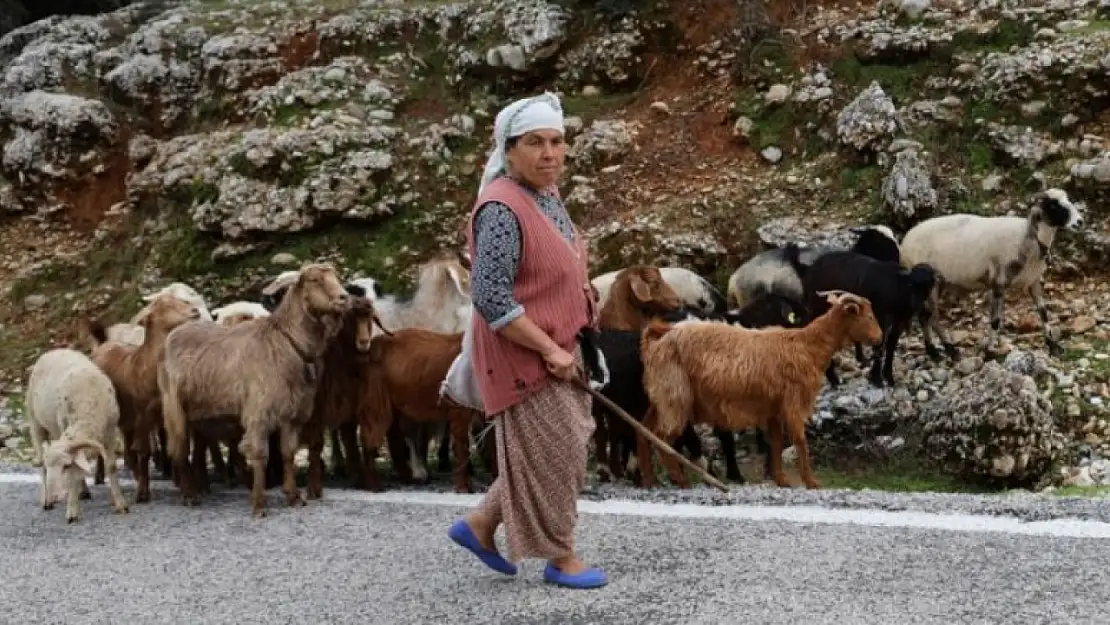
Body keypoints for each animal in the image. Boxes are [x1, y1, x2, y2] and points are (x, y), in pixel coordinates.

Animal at [25, 346, 128, 523]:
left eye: (65, 466)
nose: (54, 495)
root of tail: (53, 351)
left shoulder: (110, 432)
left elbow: (110, 466)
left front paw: (121, 504)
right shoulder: (64, 426)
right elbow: (74, 474)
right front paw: (72, 510)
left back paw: (82, 491)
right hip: (35, 422)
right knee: (40, 457)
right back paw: (46, 501)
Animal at [83, 295, 204, 506]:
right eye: (165, 305)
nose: (195, 311)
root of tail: (104, 345)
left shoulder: (167, 414)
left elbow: (178, 448)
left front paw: (188, 491)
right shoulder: (142, 414)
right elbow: (143, 452)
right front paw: (142, 493)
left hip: (126, 418)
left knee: (127, 446)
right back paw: (101, 476)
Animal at [158, 261, 348, 515]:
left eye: (336, 277)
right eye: (314, 280)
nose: (344, 298)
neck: (286, 344)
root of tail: (175, 334)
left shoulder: (292, 415)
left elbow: (288, 454)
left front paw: (293, 496)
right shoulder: (258, 412)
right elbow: (260, 455)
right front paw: (258, 504)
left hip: (199, 415)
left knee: (195, 449)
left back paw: (199, 489)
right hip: (173, 408)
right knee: (179, 450)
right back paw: (189, 495)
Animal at [357, 330, 475, 497]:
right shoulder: (458, 404)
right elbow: (461, 444)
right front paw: (464, 490)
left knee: (393, 433)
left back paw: (407, 479)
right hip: (376, 388)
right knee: (375, 427)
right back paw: (374, 487)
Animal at [639, 290, 879, 490]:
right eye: (867, 317)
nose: (879, 338)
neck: (807, 345)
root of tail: (657, 340)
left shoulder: (773, 408)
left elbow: (776, 442)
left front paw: (781, 479)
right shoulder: (792, 402)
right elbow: (800, 440)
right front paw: (811, 481)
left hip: (661, 396)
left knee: (644, 430)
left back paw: (650, 480)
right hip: (675, 395)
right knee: (662, 436)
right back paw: (680, 479)